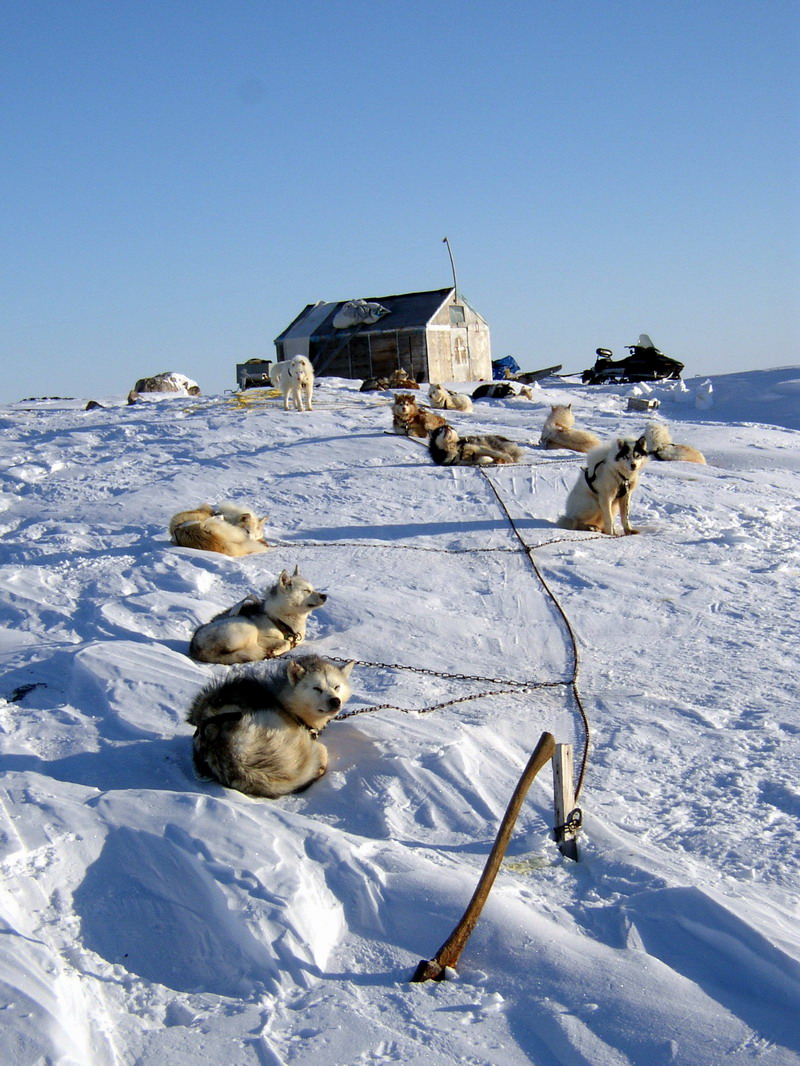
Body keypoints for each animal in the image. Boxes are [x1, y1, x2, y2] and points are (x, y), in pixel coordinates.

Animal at [189, 562, 326, 660]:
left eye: (313, 589)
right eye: (306, 590)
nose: (325, 596)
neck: (280, 618)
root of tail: (198, 648)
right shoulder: (262, 638)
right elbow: (285, 643)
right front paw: (276, 650)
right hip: (247, 626)